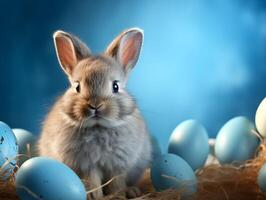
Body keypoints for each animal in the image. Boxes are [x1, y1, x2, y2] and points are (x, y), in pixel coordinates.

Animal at [38, 27, 153, 198]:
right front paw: (94, 196)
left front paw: (119, 194)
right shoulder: (86, 165)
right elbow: (92, 180)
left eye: (115, 86)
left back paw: (132, 191)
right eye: (77, 87)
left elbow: (116, 181)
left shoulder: (118, 164)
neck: (98, 127)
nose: (95, 105)